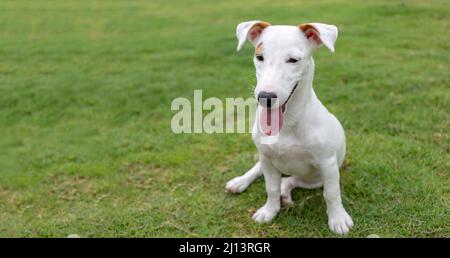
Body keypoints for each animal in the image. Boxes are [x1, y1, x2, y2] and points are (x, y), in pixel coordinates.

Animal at [227, 20, 354, 234]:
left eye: (293, 60)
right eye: (259, 57)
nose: (265, 97)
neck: (287, 123)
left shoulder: (327, 164)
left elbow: (331, 193)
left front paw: (338, 218)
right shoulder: (267, 159)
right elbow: (271, 188)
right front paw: (269, 211)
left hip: (313, 178)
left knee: (290, 181)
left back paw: (285, 193)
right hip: (265, 158)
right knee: (260, 170)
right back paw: (240, 181)